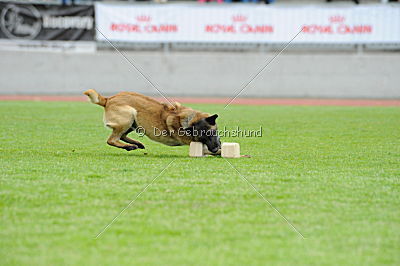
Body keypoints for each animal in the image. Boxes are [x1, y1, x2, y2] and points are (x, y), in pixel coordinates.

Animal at [85, 89, 222, 153]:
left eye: (212, 133)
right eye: (201, 137)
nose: (214, 149)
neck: (189, 119)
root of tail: (108, 99)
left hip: (133, 122)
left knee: (121, 136)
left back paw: (136, 144)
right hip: (128, 116)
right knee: (112, 140)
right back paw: (129, 146)